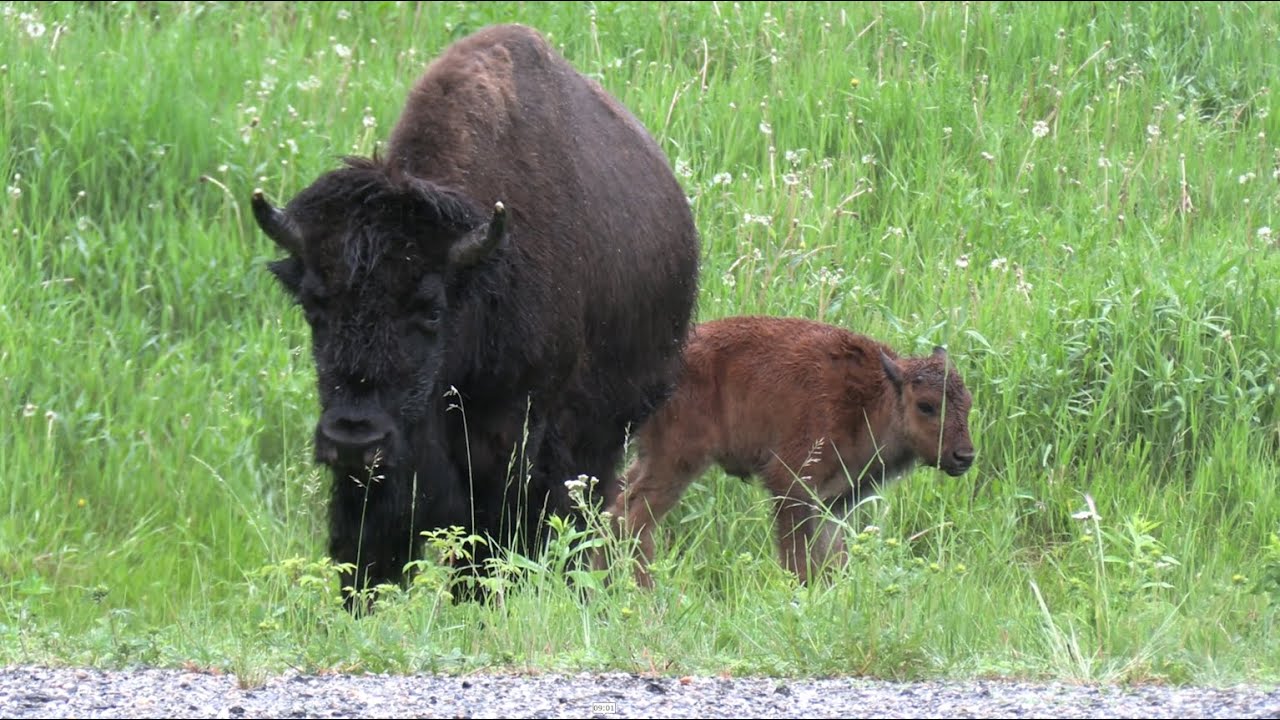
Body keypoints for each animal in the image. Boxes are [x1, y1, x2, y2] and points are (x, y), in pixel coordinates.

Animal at [595, 315, 975, 587]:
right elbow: (797, 555)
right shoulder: (791, 485)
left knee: (615, 507)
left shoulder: (835, 501)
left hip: (652, 458)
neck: (872, 397)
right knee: (631, 519)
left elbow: (833, 555)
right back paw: (644, 591)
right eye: (926, 405)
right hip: (676, 462)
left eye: (968, 403)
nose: (964, 457)